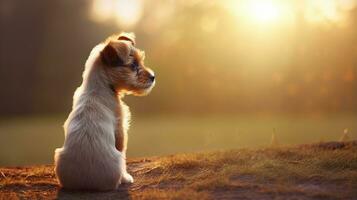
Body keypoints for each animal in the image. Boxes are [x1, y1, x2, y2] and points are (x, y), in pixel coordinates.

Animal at [54, 32, 154, 191]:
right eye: (133, 66)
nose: (153, 77)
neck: (101, 85)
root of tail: (87, 185)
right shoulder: (120, 130)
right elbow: (124, 154)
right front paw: (127, 177)